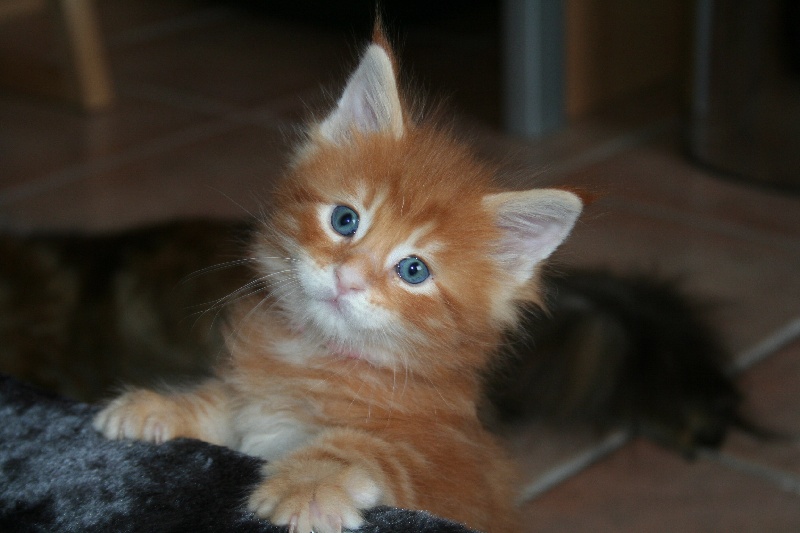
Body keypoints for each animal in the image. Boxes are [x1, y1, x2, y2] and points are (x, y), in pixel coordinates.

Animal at [94, 30, 580, 532]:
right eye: (345, 220)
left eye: (414, 270)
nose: (348, 277)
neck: (311, 358)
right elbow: (222, 401)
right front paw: (162, 407)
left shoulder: (455, 472)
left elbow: (372, 447)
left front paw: (308, 481)